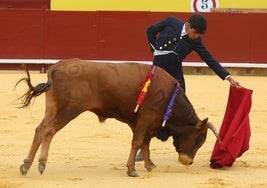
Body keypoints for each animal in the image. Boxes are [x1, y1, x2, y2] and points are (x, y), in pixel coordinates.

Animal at [16, 58, 220, 176]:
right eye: (200, 139)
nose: (188, 161)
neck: (170, 96)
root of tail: (58, 66)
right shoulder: (146, 117)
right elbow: (138, 142)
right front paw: (132, 169)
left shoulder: (144, 122)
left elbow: (144, 143)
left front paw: (149, 165)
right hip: (68, 110)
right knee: (49, 131)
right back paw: (39, 165)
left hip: (52, 108)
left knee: (40, 130)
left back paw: (26, 165)